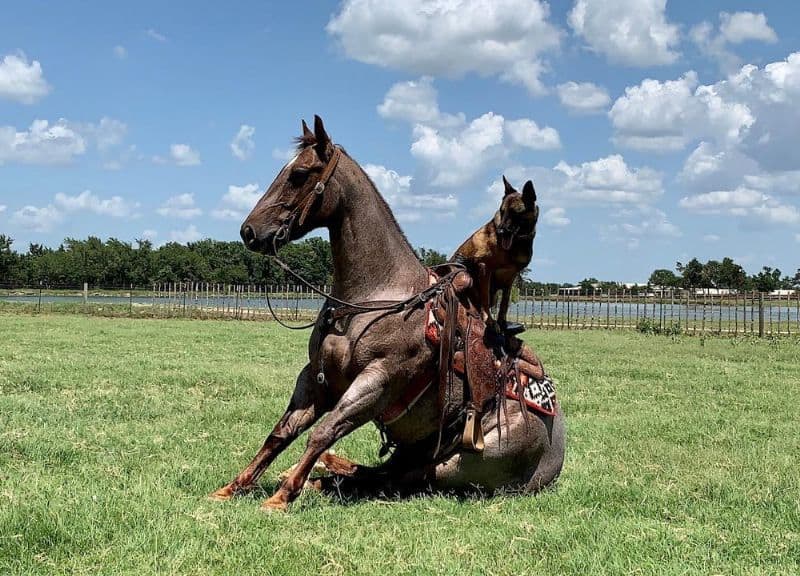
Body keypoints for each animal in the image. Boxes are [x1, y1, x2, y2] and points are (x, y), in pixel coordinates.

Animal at [210, 115, 565, 511]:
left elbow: (322, 432)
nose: (249, 231)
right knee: (374, 473)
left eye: (299, 174)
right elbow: (281, 432)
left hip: (447, 465)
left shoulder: (377, 383)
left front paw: (281, 497)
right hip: (412, 451)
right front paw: (233, 487)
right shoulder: (316, 380)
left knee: (389, 480)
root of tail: (552, 461)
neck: (373, 298)